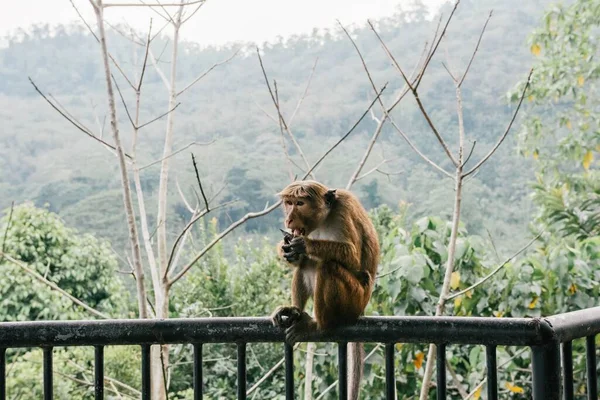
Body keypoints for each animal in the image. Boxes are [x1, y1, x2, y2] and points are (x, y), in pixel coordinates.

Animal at [272, 180, 380, 398]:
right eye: (288, 203)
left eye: (300, 203)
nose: (289, 218)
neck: (325, 217)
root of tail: (362, 309)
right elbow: (300, 260)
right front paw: (287, 250)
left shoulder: (343, 212)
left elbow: (353, 257)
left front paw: (304, 244)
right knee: (307, 264)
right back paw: (294, 311)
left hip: (353, 298)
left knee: (328, 266)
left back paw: (315, 325)